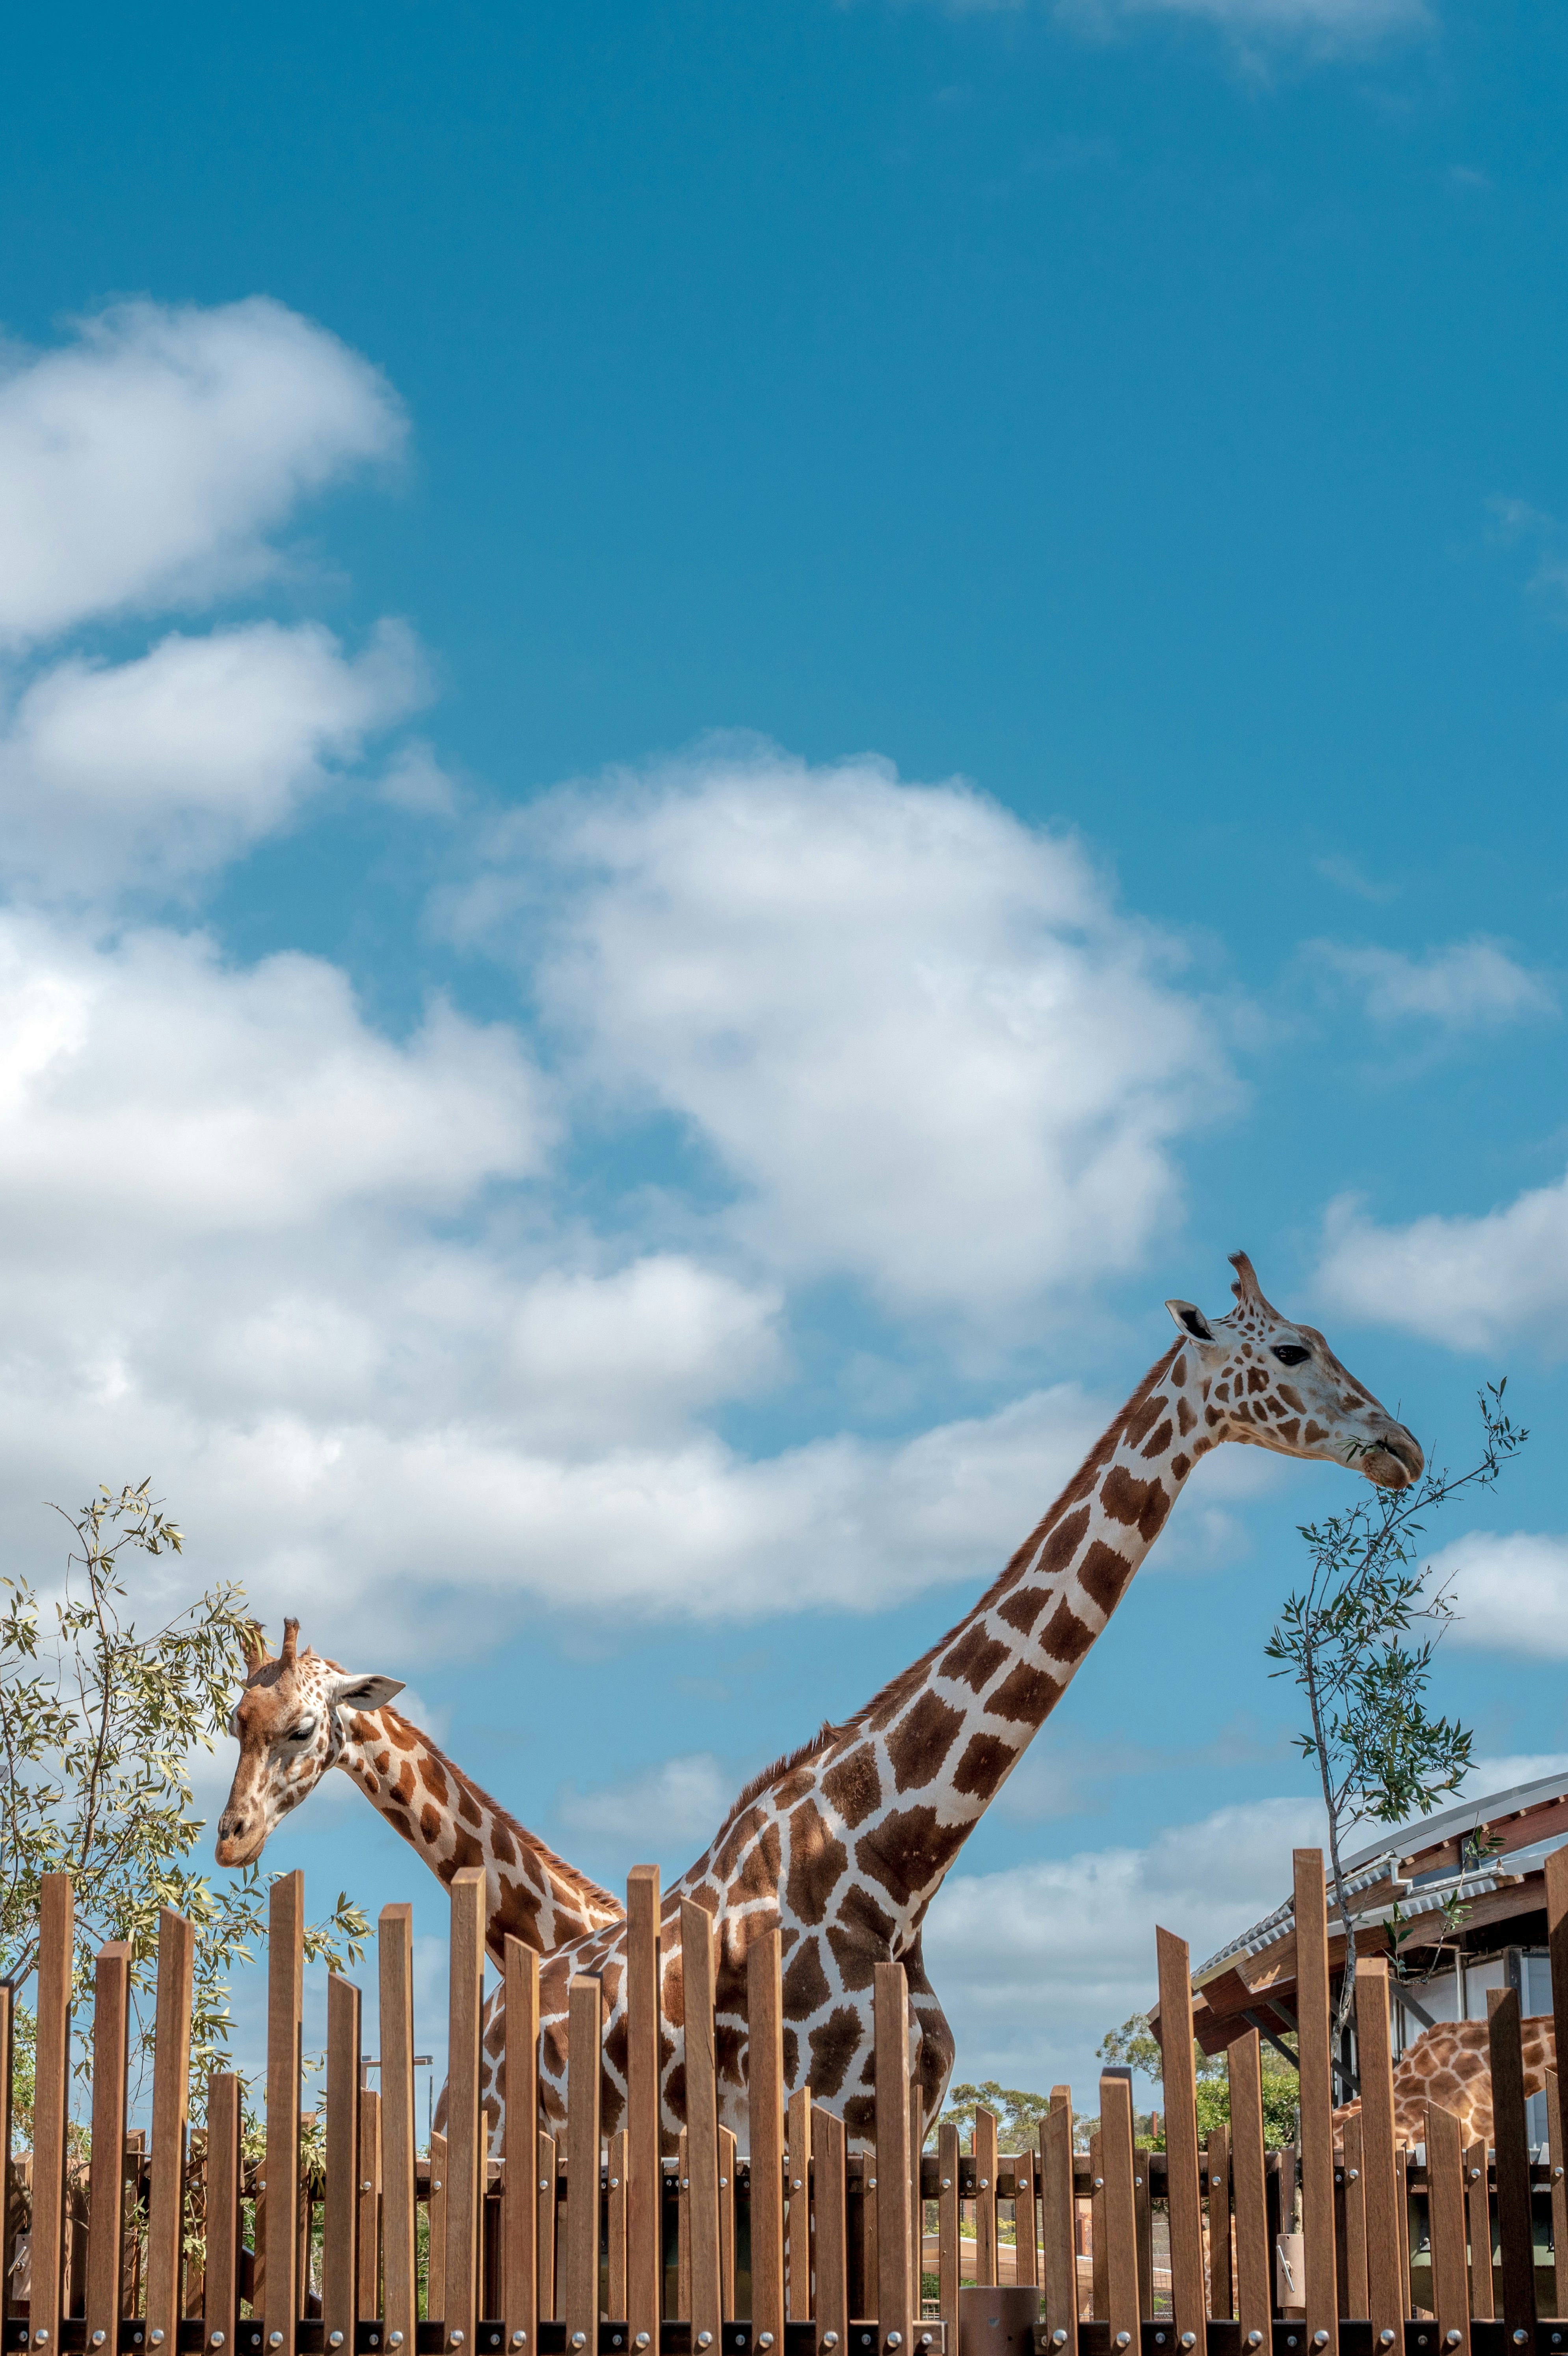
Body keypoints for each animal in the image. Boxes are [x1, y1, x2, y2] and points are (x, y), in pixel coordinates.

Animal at [217, 1252, 1422, 2150]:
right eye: (1290, 1349)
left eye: (294, 1727)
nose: (1402, 1444)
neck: (892, 1865)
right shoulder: (789, 2133)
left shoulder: (890, 2130)